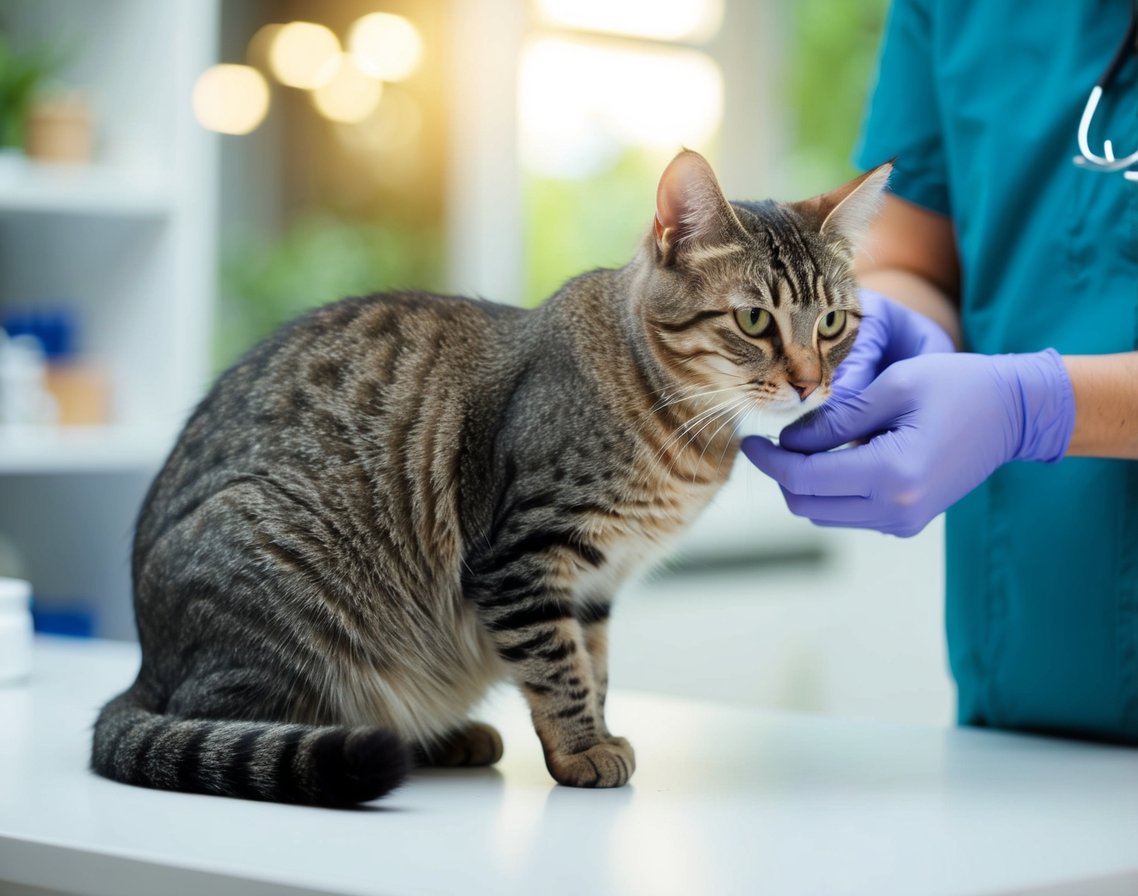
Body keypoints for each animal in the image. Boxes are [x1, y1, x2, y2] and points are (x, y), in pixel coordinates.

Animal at [91, 152, 887, 806]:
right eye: (753, 319)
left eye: (834, 323)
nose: (810, 383)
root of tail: (145, 665)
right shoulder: (523, 556)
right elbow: (559, 670)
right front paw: (581, 749)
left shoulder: (595, 583)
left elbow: (592, 666)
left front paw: (597, 734)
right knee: (249, 722)